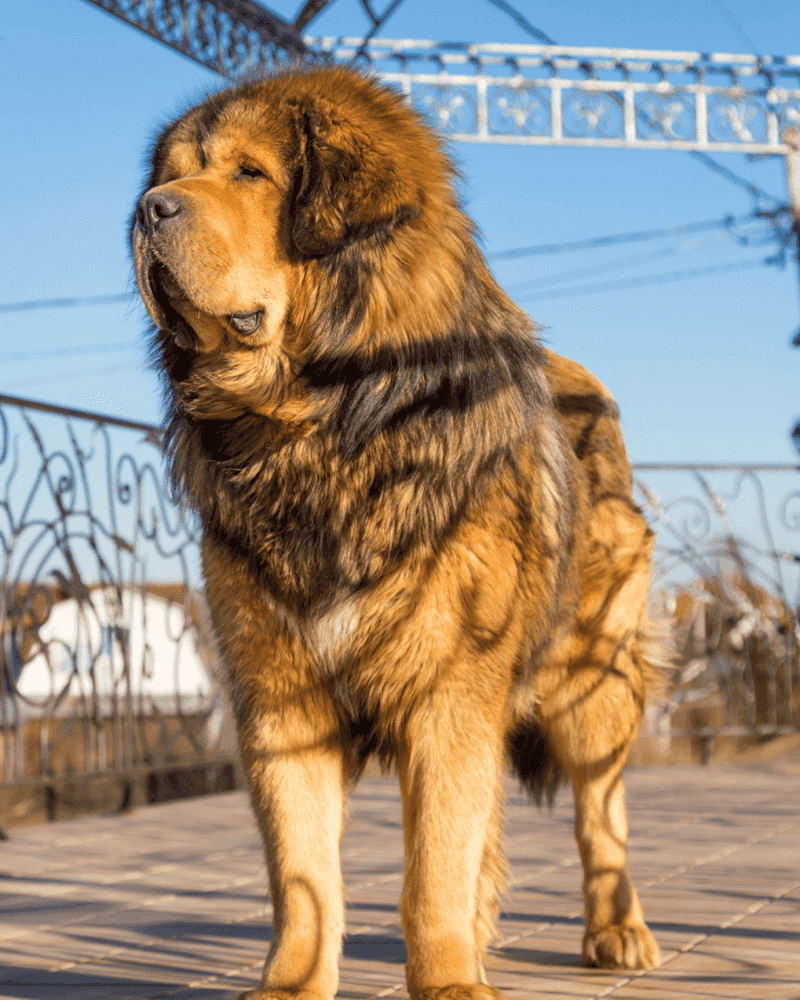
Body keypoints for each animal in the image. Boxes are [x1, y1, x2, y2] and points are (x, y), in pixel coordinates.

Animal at [130, 64, 656, 1000]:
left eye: (249, 174)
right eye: (176, 174)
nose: (150, 209)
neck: (322, 423)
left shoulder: (449, 686)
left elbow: (433, 863)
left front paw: (446, 979)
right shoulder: (281, 695)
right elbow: (304, 874)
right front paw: (292, 983)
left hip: (591, 681)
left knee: (601, 815)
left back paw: (617, 928)